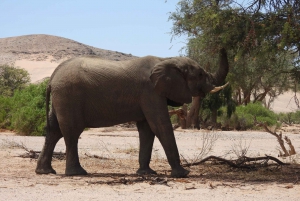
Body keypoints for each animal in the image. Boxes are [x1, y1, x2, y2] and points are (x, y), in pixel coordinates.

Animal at [34, 53, 227, 177]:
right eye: (200, 74)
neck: (166, 59)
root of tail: (52, 78)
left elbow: (147, 129)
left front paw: (147, 173)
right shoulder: (150, 92)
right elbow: (160, 125)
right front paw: (183, 174)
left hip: (61, 97)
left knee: (54, 132)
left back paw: (45, 172)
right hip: (69, 96)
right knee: (72, 132)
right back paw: (78, 173)